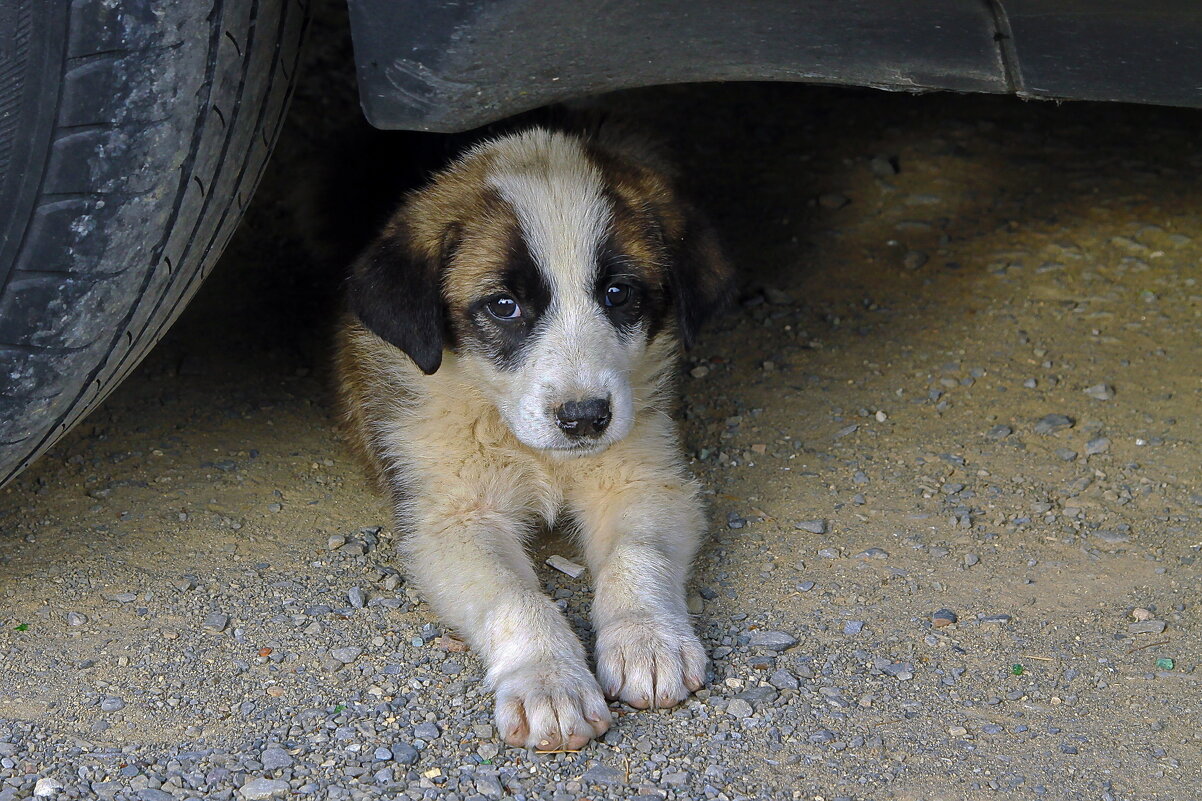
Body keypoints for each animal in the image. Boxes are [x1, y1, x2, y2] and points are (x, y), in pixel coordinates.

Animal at [338, 125, 730, 750]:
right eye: (504, 306)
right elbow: (514, 596)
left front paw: (647, 640)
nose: (585, 418)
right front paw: (550, 682)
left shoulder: (643, 478)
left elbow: (636, 555)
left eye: (618, 294)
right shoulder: (453, 516)